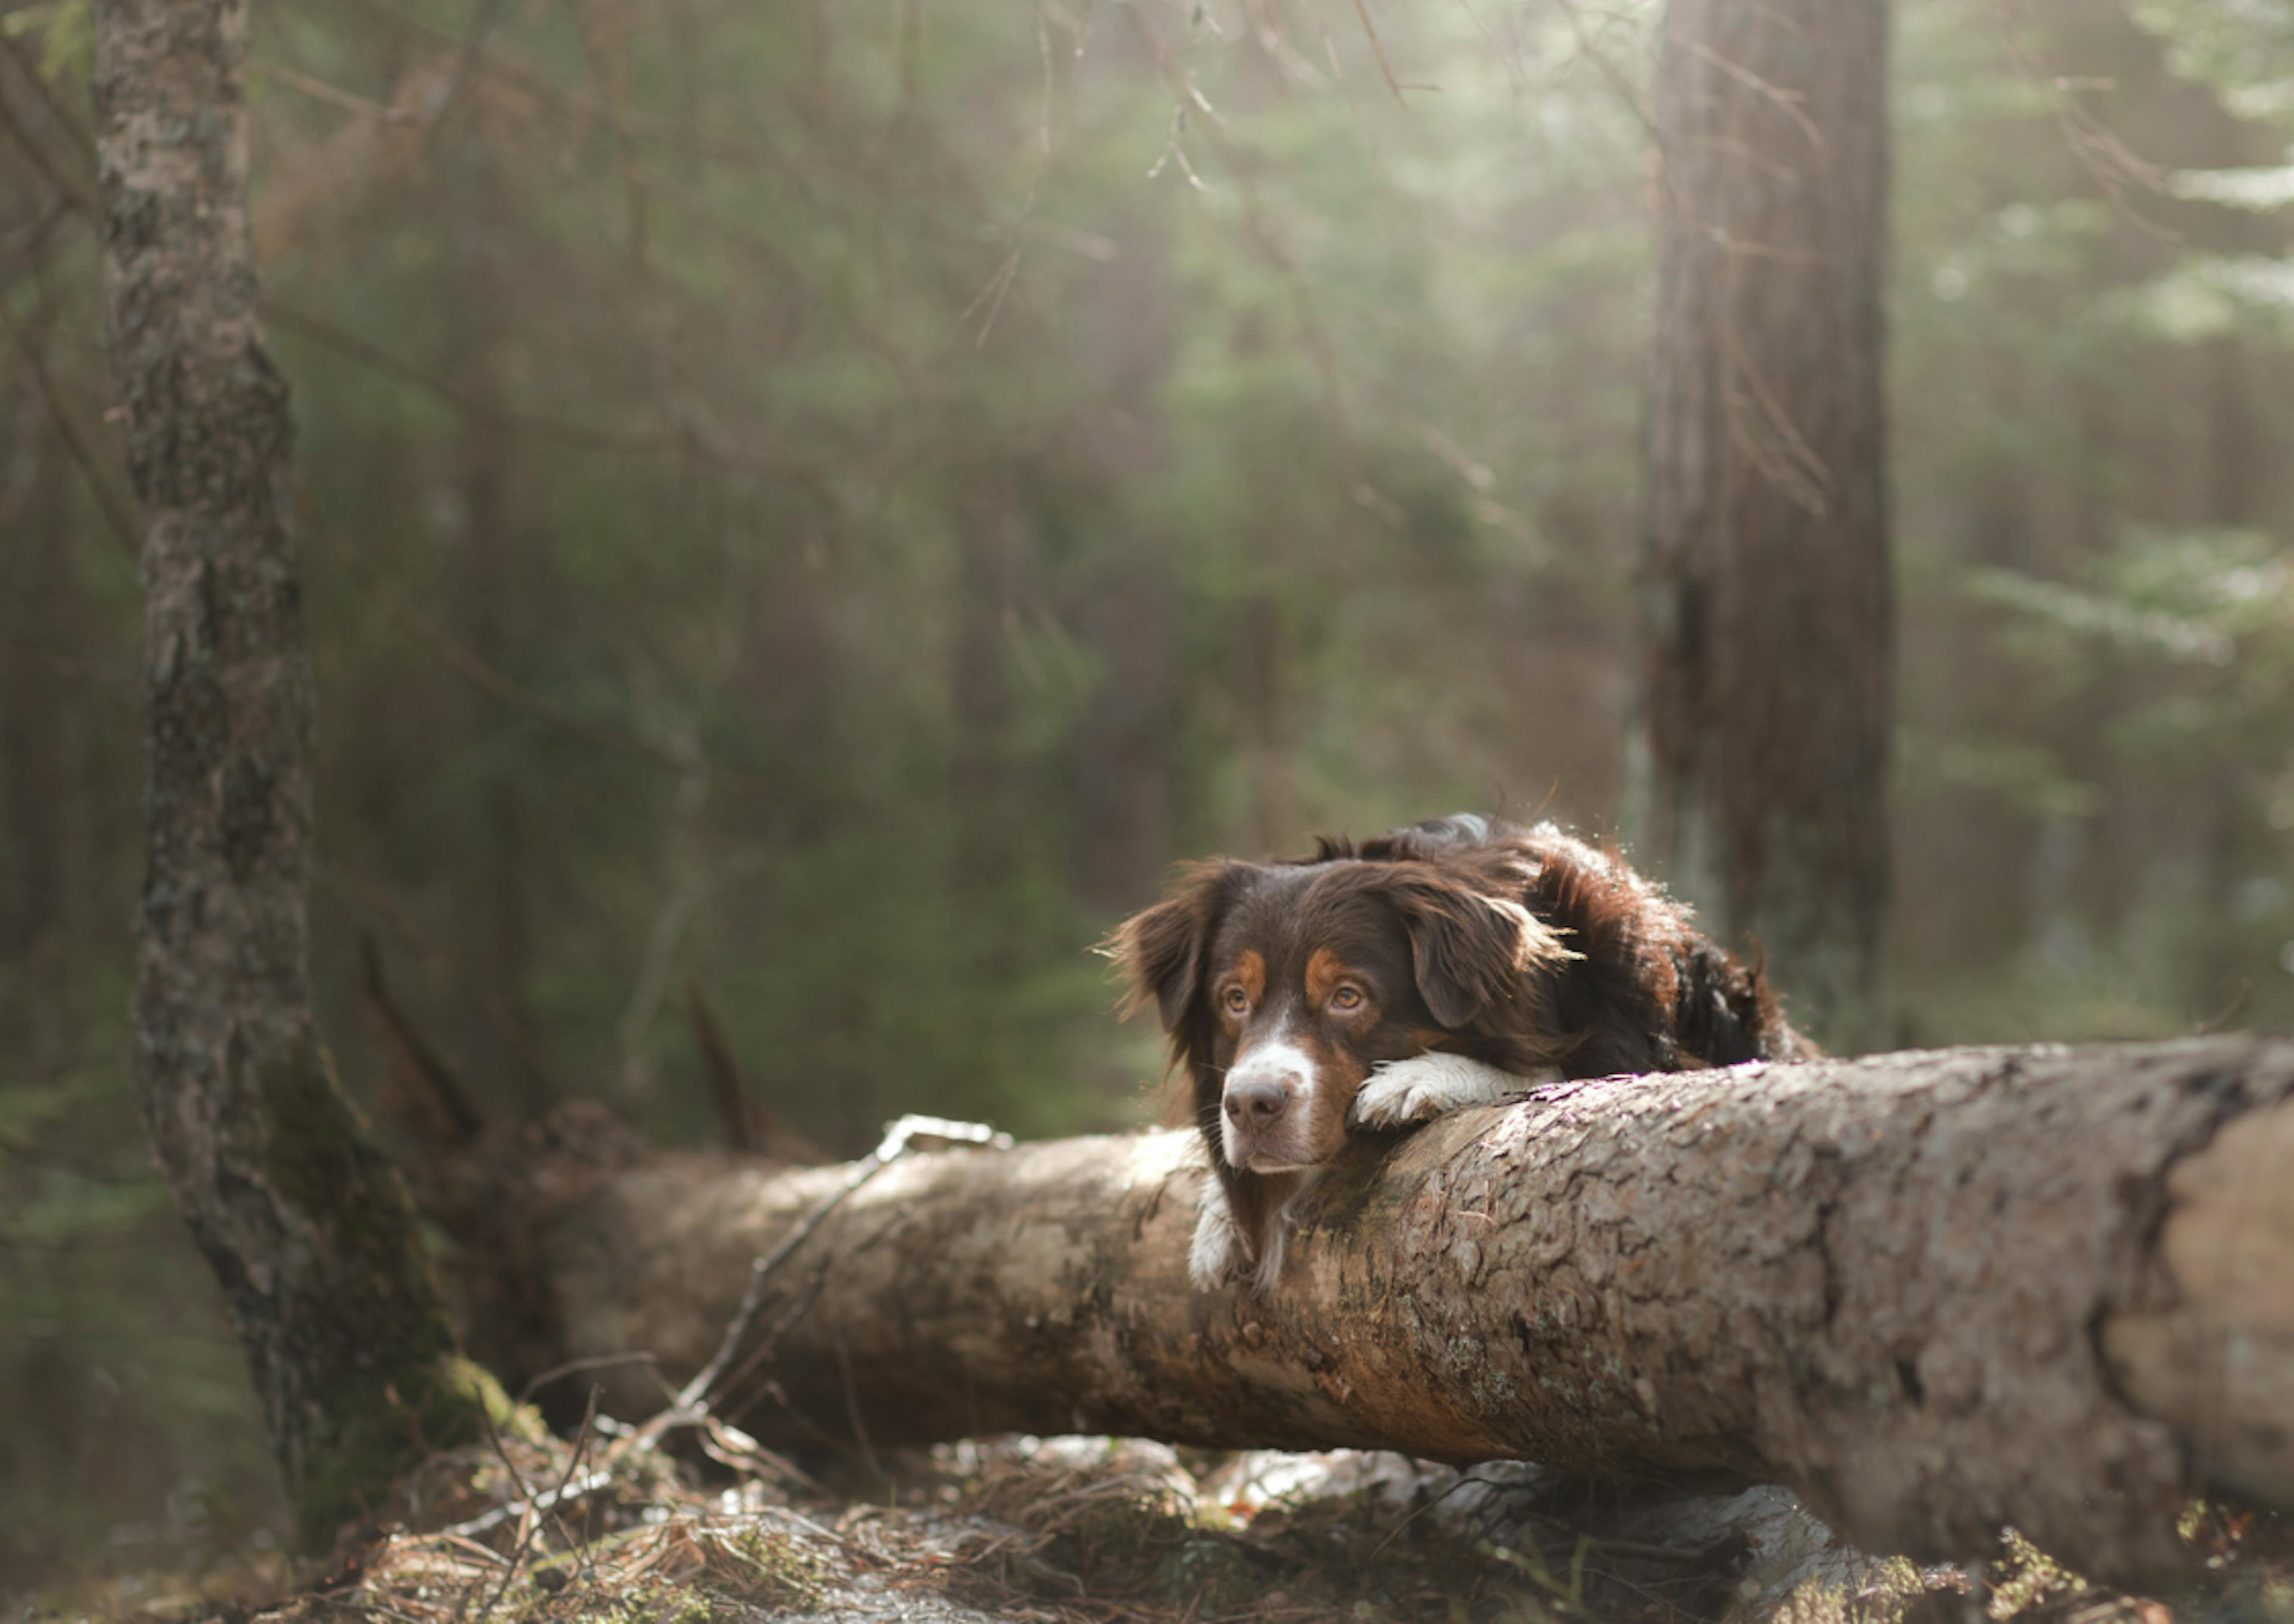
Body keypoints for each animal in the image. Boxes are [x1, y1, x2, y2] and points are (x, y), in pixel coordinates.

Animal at [1110, 812, 1807, 1293]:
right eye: (1234, 999)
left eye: (1347, 996)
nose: (1251, 1107)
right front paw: (1218, 1217)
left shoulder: (1642, 1045)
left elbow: (1547, 1070)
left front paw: (1421, 1078)